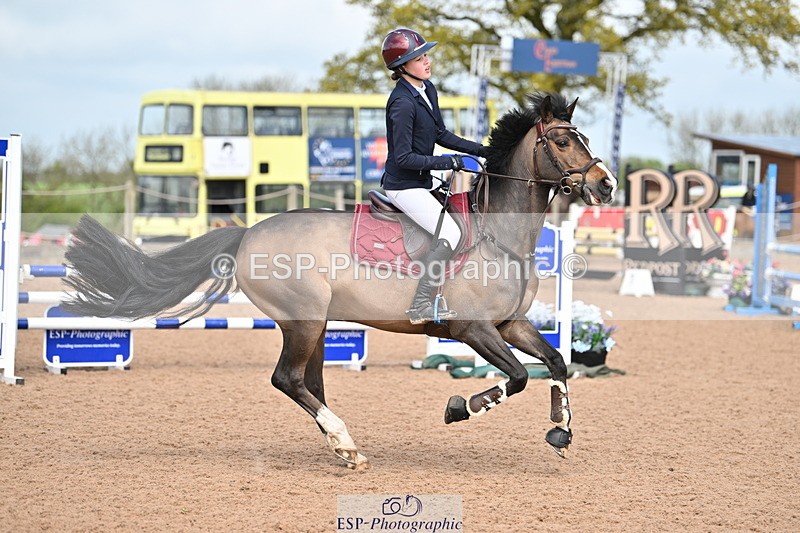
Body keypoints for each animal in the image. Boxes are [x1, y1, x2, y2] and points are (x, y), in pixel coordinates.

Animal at [63, 92, 617, 469]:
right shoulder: (471, 329)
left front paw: (560, 432)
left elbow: (556, 363)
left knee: (309, 381)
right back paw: (346, 442)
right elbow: (519, 376)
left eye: (585, 138)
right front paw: (461, 407)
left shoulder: (510, 324)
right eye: (563, 141)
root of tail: (246, 234)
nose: (606, 184)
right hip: (305, 321)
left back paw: (341, 445)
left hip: (317, 324)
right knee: (287, 379)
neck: (499, 234)